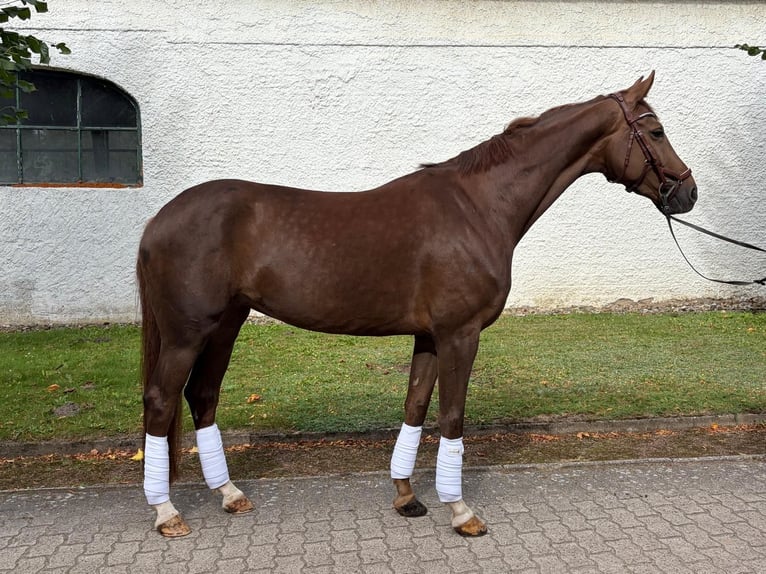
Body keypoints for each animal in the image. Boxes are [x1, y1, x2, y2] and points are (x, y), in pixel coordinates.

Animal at [136, 72, 697, 537]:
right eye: (656, 132)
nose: (687, 192)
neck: (477, 207)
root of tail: (159, 217)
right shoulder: (459, 334)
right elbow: (451, 417)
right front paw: (462, 512)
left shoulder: (428, 336)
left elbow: (415, 406)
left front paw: (407, 497)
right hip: (189, 333)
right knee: (162, 401)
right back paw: (166, 513)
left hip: (226, 324)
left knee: (202, 396)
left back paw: (229, 495)